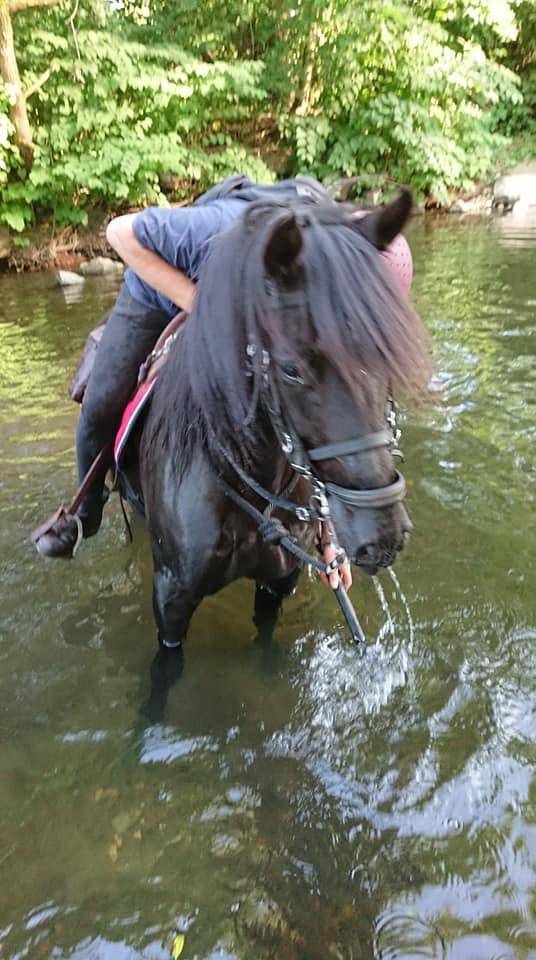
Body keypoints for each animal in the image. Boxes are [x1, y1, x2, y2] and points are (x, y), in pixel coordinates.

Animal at [119, 190, 430, 707]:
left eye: (387, 355)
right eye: (289, 369)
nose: (382, 537)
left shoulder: (280, 578)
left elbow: (264, 637)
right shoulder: (171, 597)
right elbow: (166, 670)